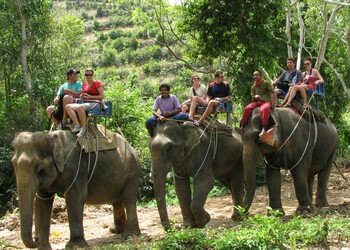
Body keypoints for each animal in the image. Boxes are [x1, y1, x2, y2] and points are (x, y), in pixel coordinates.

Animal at [11, 129, 142, 250]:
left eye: (39, 167)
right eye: (13, 164)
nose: (36, 238)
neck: (53, 138)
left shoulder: (76, 168)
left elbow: (75, 198)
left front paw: (75, 246)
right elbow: (42, 202)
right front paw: (43, 248)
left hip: (133, 170)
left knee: (129, 197)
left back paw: (129, 234)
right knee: (118, 201)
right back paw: (115, 231)